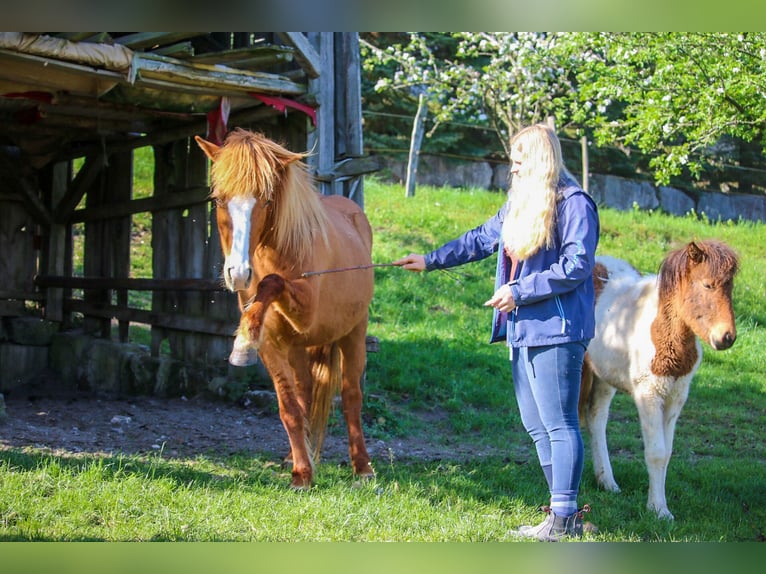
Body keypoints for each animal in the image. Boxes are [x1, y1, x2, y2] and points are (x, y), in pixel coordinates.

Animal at [195, 130, 376, 490]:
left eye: (265, 201)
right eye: (219, 200)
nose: (238, 273)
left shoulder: (305, 310)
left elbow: (272, 282)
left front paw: (242, 340)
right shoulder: (273, 345)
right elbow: (289, 407)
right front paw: (301, 473)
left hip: (353, 333)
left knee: (351, 397)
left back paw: (362, 468)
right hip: (297, 348)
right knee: (305, 393)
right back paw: (295, 456)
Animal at [584, 241, 740, 520]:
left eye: (730, 287)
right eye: (707, 285)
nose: (726, 338)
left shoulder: (676, 397)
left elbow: (666, 453)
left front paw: (660, 506)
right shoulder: (648, 395)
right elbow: (656, 453)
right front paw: (658, 510)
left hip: (603, 376)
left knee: (596, 418)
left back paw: (607, 482)